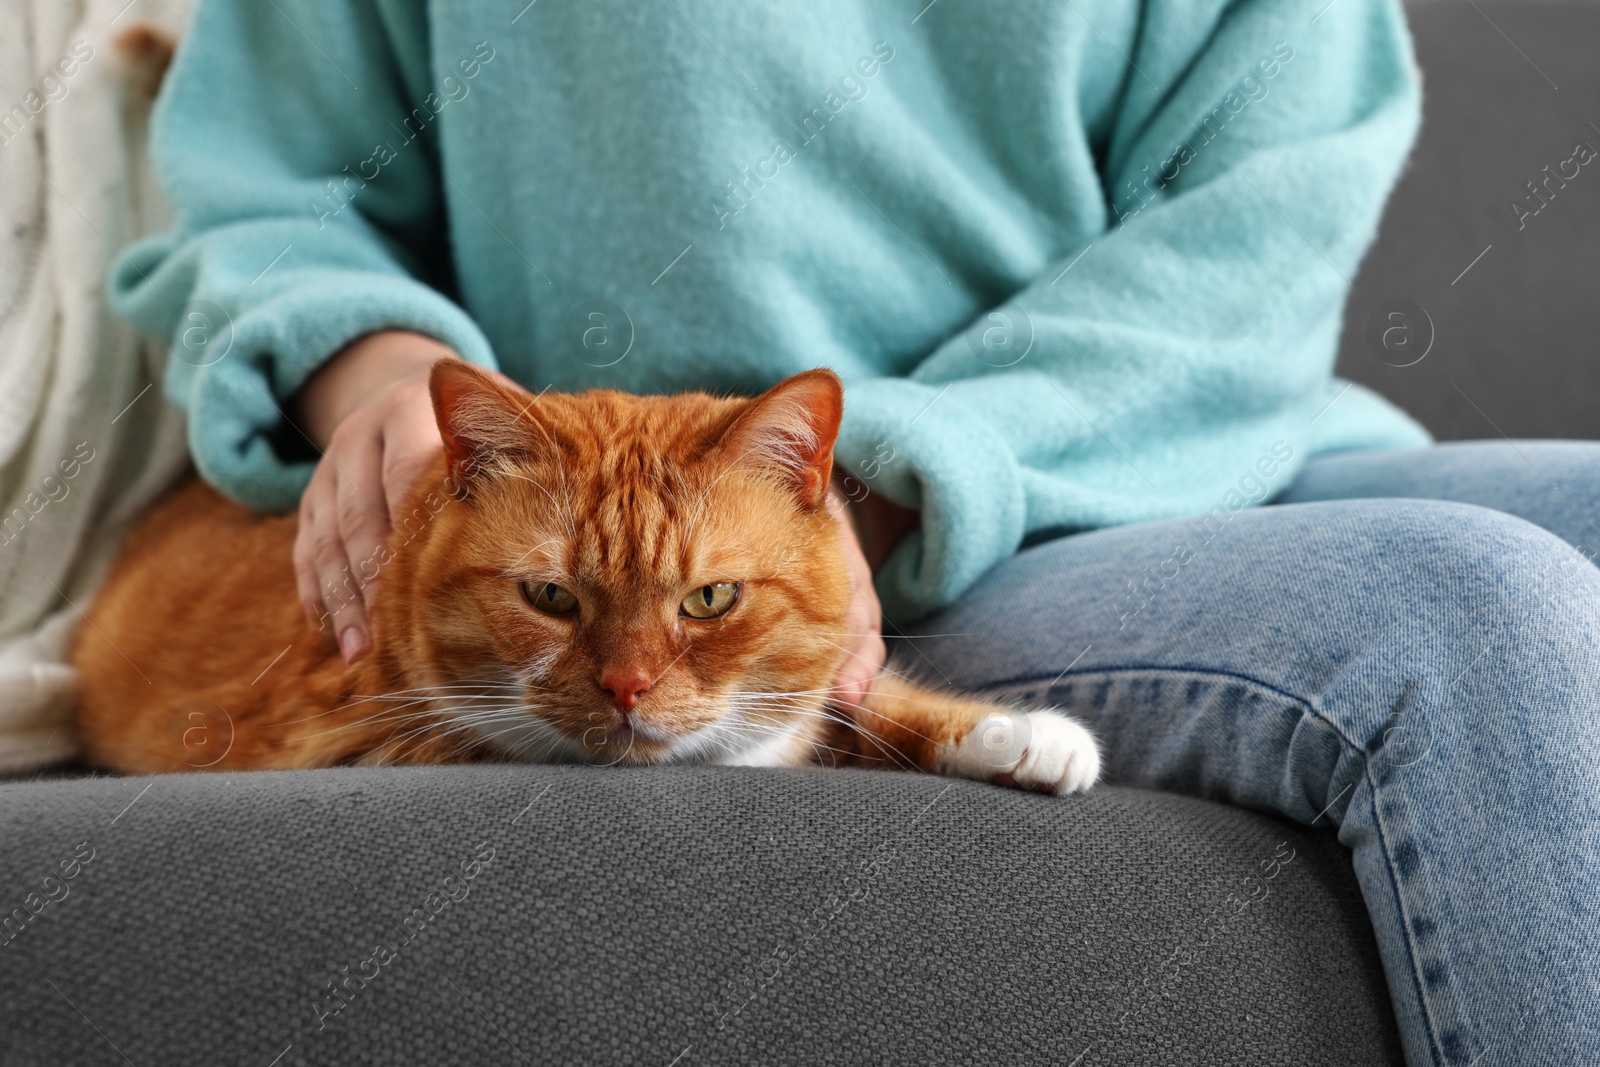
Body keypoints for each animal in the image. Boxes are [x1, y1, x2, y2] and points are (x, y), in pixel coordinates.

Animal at [75, 364, 1100, 793]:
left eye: (710, 599)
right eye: (552, 597)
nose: (627, 686)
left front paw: (1015, 734)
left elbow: (852, 704)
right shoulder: (346, 736)